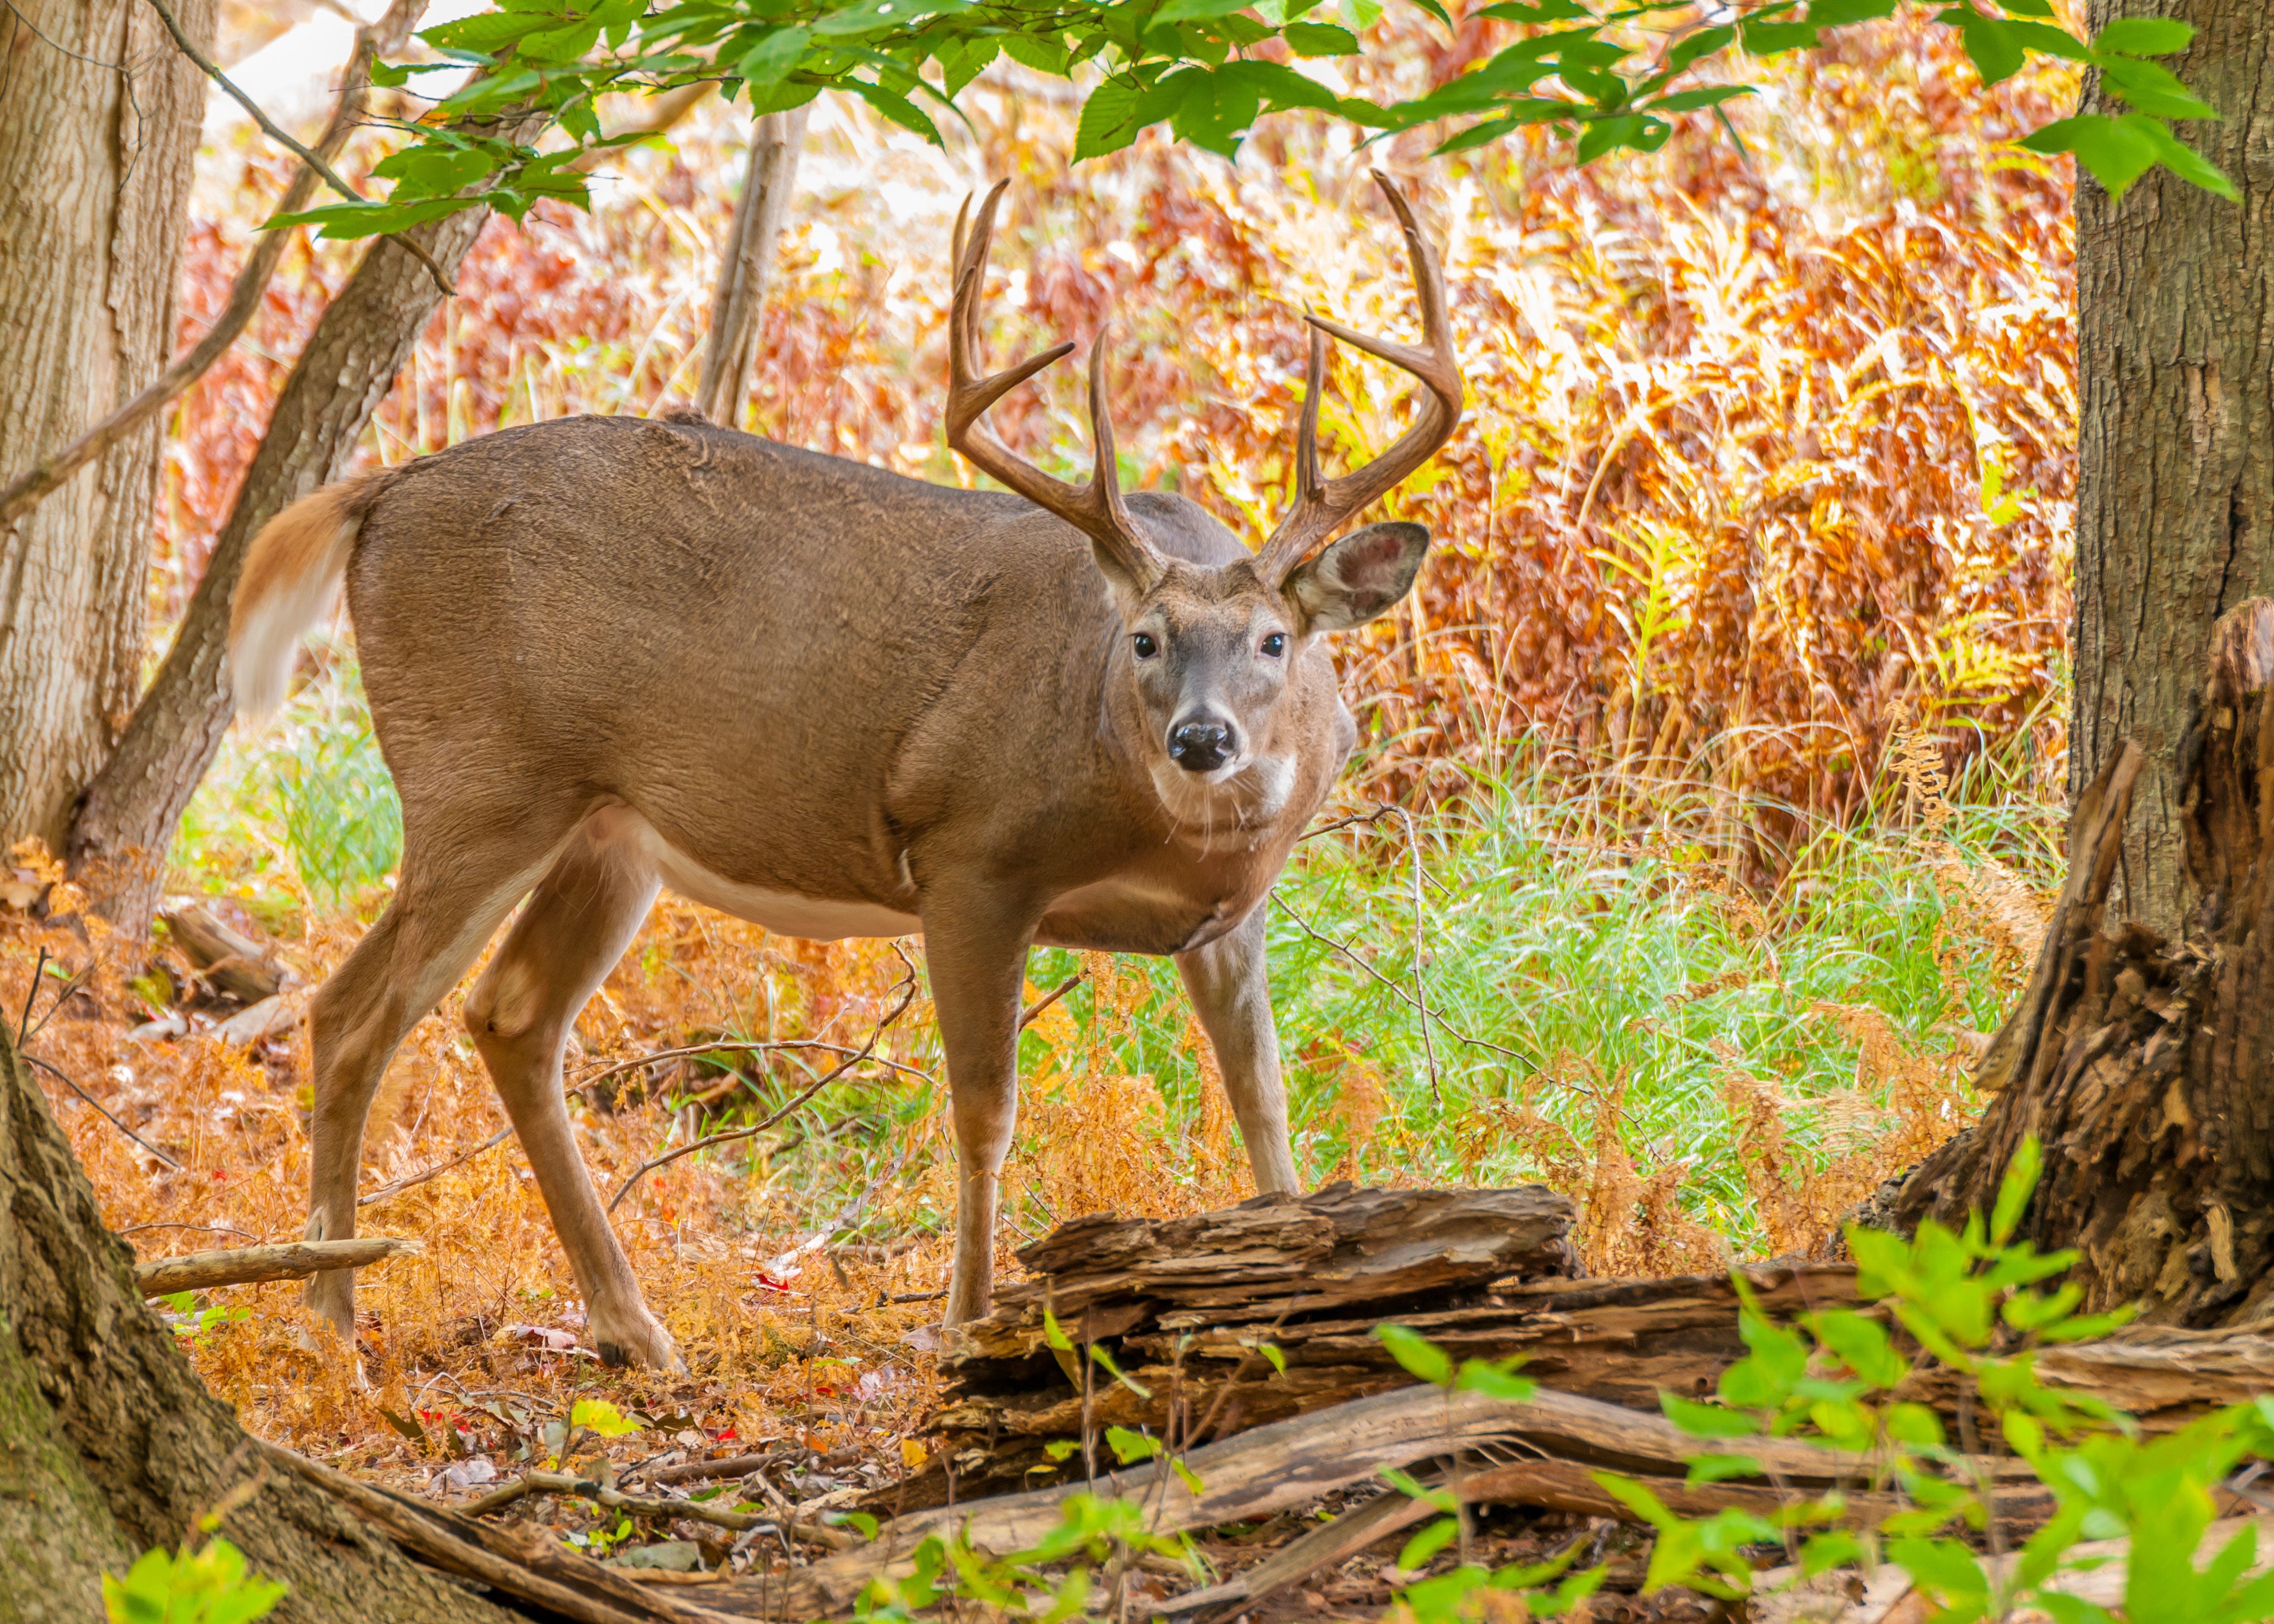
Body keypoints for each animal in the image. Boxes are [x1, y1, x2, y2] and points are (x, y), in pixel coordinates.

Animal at [226, 171, 1455, 1355]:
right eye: (1144, 640)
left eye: (1274, 640)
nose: (1201, 740)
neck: (1169, 830)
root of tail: (378, 491)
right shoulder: (970, 859)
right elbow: (984, 1111)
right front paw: (965, 1323)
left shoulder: (1230, 916)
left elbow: (1263, 1099)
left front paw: (1294, 1278)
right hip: (480, 780)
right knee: (348, 1011)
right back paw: (331, 1318)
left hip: (606, 831)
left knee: (509, 1015)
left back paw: (632, 1329)